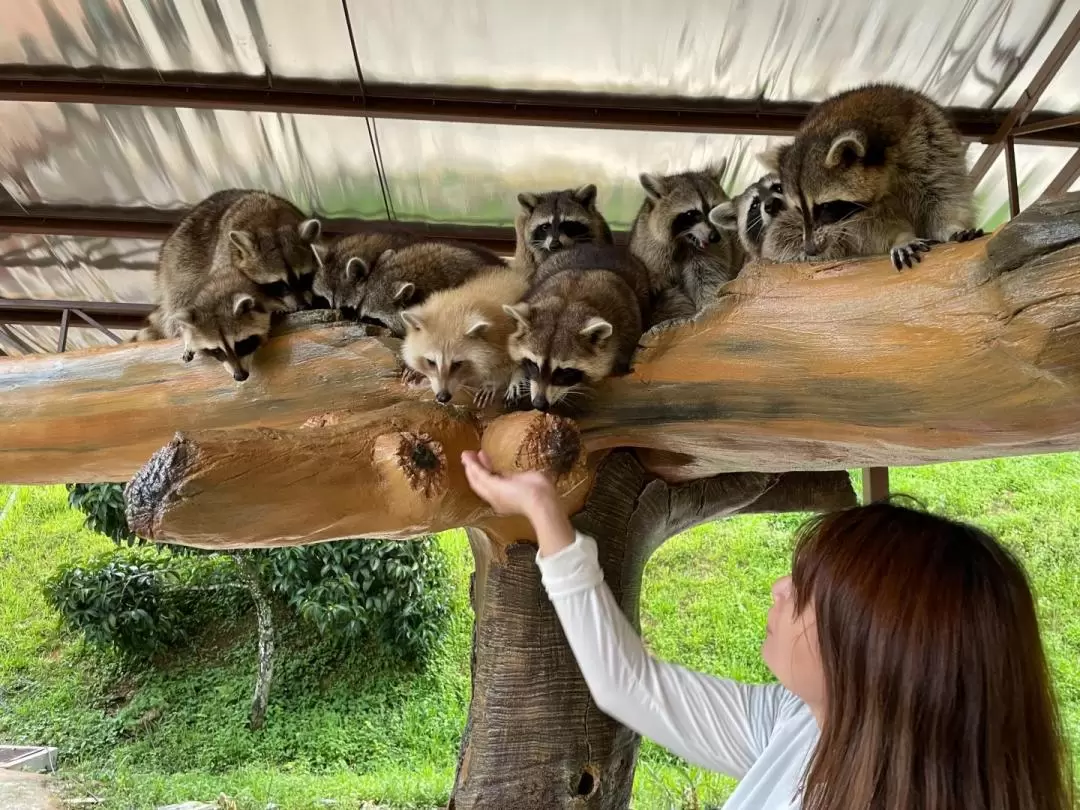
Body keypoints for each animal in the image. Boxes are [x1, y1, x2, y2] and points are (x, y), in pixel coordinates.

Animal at [399, 264, 529, 406]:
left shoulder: (506, 336)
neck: (460, 306)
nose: (443, 397)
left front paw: (493, 382)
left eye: (457, 364)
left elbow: (507, 366)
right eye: (431, 362)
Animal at [501, 243, 643, 412]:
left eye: (565, 371)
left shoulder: (627, 333)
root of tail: (597, 245)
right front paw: (518, 373)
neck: (570, 299)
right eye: (533, 364)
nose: (539, 405)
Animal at [630, 162, 747, 319]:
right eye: (691, 214)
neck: (684, 241)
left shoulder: (712, 253)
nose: (715, 237)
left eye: (714, 209)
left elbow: (707, 281)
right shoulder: (652, 251)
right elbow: (661, 287)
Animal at [760, 84, 980, 271]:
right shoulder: (859, 215)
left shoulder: (930, 141)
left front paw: (951, 227)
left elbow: (943, 194)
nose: (810, 249)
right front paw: (901, 237)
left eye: (825, 206)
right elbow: (876, 226)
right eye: (799, 209)